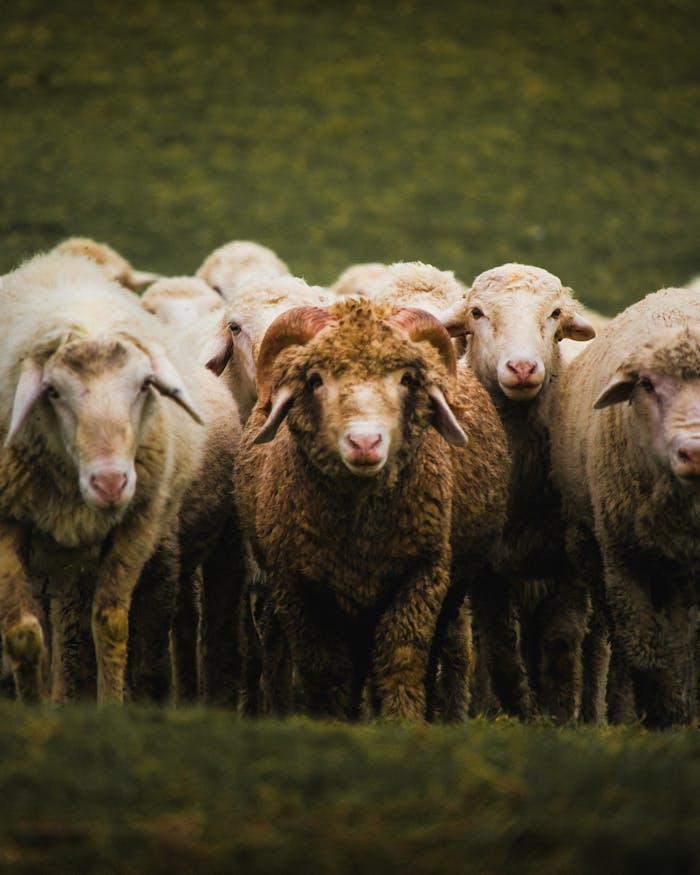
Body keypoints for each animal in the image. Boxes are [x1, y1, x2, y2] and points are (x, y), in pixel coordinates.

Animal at [0, 250, 226, 704]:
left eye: (144, 385)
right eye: (52, 391)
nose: (110, 483)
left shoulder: (137, 528)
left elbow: (111, 624)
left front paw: (112, 705)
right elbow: (23, 634)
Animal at [234, 296, 509, 722]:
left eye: (408, 379)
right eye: (315, 379)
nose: (365, 443)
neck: (360, 525)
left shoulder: (421, 574)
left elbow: (401, 656)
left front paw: (403, 720)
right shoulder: (297, 584)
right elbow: (324, 666)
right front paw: (331, 720)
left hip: (453, 584)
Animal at [437, 262, 598, 722]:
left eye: (556, 313)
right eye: (477, 313)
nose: (523, 368)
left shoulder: (569, 561)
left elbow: (562, 644)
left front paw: (560, 717)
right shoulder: (487, 568)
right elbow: (503, 654)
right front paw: (523, 714)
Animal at [548, 286, 700, 727]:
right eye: (646, 384)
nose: (694, 452)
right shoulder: (621, 559)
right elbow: (642, 646)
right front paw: (664, 711)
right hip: (589, 546)